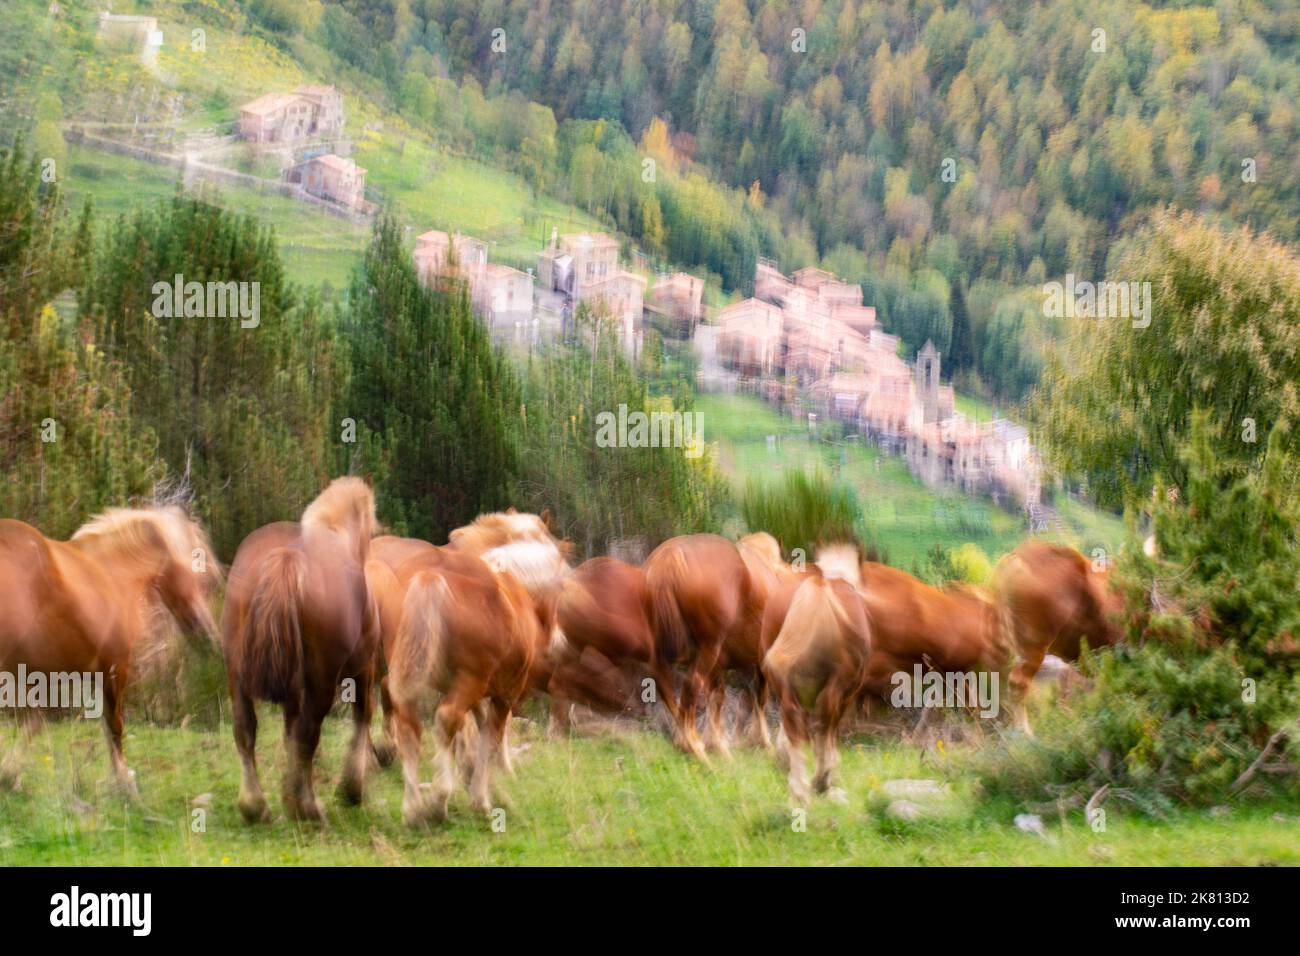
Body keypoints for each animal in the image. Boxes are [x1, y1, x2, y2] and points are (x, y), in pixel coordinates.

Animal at [0, 505, 220, 793]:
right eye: (204, 578)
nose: (209, 636)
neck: (113, 573)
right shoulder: (116, 668)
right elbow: (114, 726)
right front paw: (124, 781)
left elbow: (45, 722)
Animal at [221, 477, 379, 823]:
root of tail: (287, 557)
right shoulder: (363, 670)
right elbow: (362, 718)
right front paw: (351, 789)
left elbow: (288, 731)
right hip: (323, 680)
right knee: (310, 732)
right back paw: (307, 807)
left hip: (236, 672)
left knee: (244, 729)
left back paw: (256, 805)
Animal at [643, 533, 764, 759]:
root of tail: (668, 559)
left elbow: (721, 696)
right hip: (709, 648)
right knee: (691, 686)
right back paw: (695, 747)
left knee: (666, 687)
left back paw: (686, 742)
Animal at [760, 545, 872, 803]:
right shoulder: (848, 691)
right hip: (836, 688)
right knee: (822, 727)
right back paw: (820, 780)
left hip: (785, 687)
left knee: (795, 726)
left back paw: (798, 787)